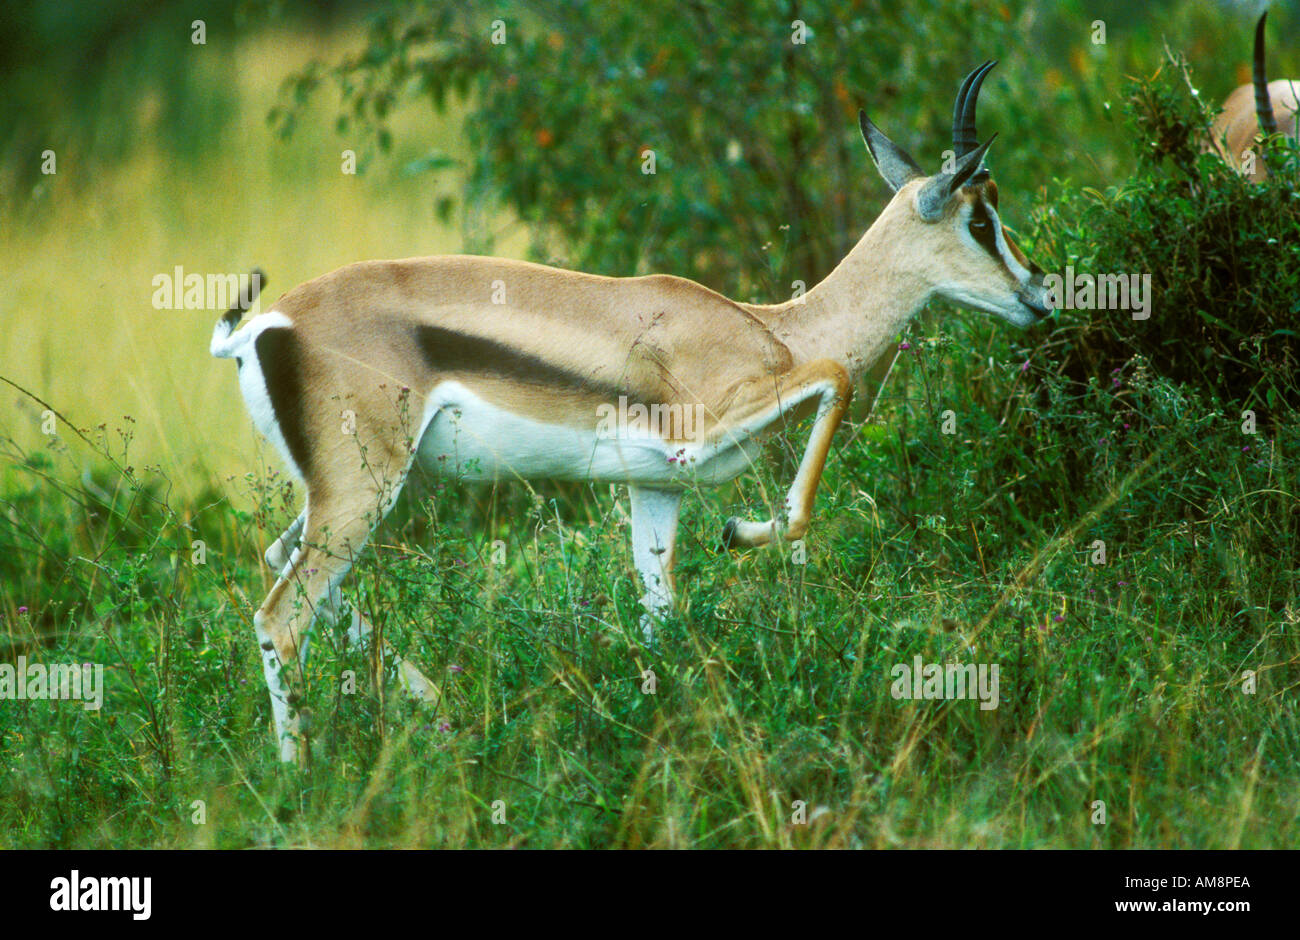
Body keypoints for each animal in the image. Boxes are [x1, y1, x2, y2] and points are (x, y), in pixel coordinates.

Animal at [211, 62, 1050, 763]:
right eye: (980, 218)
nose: (1041, 290)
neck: (777, 327)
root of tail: (267, 326)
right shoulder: (709, 428)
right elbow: (835, 386)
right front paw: (743, 531)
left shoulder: (658, 486)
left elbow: (660, 614)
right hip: (364, 491)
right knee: (280, 616)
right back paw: (304, 778)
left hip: (355, 491)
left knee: (284, 563)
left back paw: (429, 702)